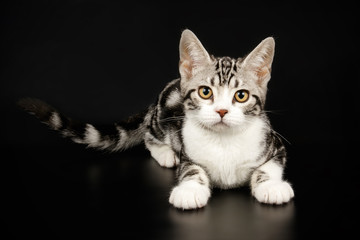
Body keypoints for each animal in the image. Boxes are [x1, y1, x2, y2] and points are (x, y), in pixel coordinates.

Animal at [18, 29, 294, 210]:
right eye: (206, 92)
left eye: (241, 95)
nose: (222, 111)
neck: (224, 141)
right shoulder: (188, 153)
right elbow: (192, 169)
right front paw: (190, 190)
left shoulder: (276, 145)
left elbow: (268, 167)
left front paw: (271, 186)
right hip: (163, 119)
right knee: (149, 136)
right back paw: (164, 153)